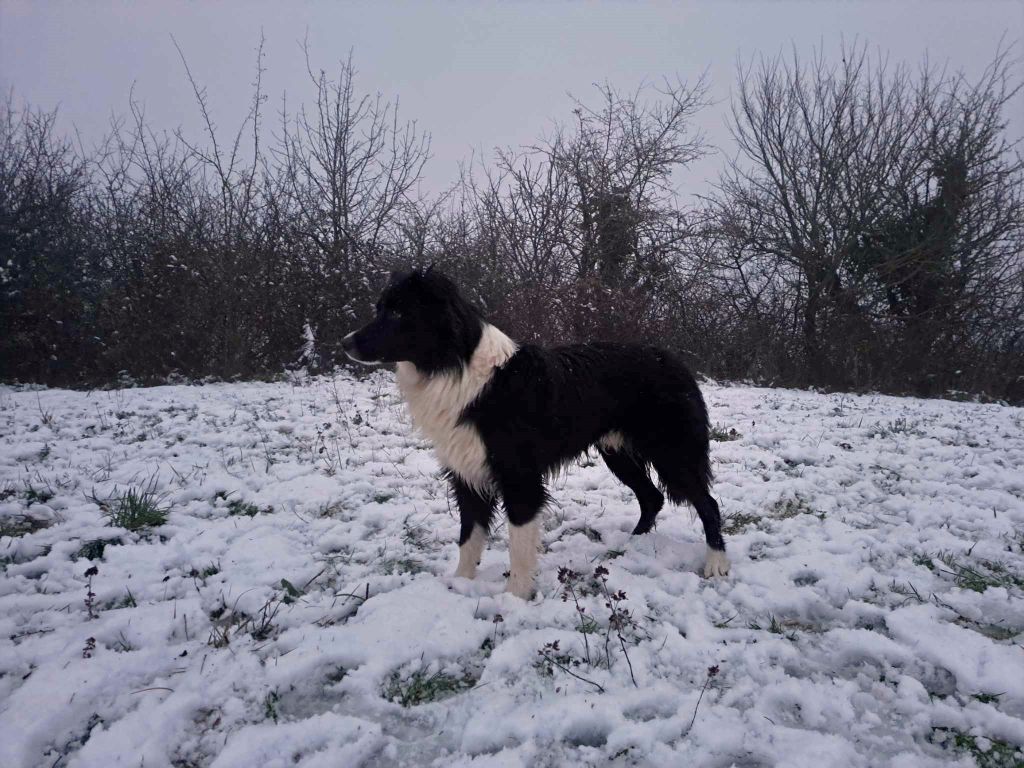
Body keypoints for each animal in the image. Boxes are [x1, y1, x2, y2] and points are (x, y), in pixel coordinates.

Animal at [344, 270, 729, 602]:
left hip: (673, 453)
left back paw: (716, 563)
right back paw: (631, 546)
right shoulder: (466, 473)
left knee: (706, 503)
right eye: (380, 308)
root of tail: (674, 361)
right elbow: (469, 537)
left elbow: (519, 547)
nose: (345, 342)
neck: (459, 368)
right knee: (652, 497)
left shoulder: (520, 480)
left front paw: (514, 600)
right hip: (618, 453)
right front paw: (459, 585)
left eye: (398, 313)